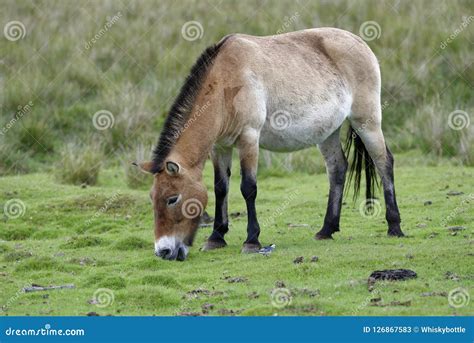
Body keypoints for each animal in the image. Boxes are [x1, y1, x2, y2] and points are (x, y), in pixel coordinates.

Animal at [136, 27, 404, 260]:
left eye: (172, 198)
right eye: (152, 198)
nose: (163, 251)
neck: (226, 80)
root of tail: (359, 42)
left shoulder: (249, 138)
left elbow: (248, 188)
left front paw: (251, 241)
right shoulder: (220, 147)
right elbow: (221, 188)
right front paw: (215, 238)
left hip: (367, 122)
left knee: (384, 162)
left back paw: (394, 227)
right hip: (328, 132)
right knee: (337, 168)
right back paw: (326, 230)